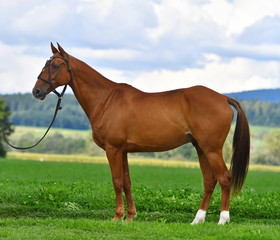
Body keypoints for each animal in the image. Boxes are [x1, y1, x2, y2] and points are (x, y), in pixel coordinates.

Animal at [32, 43, 249, 225]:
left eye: (56, 66)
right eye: (46, 65)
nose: (36, 91)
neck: (106, 99)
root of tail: (223, 98)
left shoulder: (113, 149)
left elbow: (117, 181)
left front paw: (117, 216)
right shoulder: (123, 151)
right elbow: (127, 182)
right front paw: (130, 216)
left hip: (211, 149)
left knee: (225, 178)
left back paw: (223, 220)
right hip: (200, 148)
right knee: (209, 181)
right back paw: (198, 219)